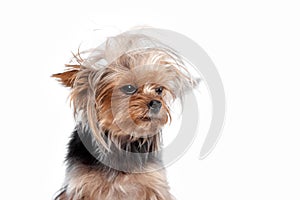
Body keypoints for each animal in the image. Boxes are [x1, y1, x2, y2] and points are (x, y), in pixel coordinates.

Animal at [52, 32, 196, 199]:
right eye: (129, 88)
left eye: (159, 90)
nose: (156, 103)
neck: (121, 141)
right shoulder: (81, 187)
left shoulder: (153, 186)